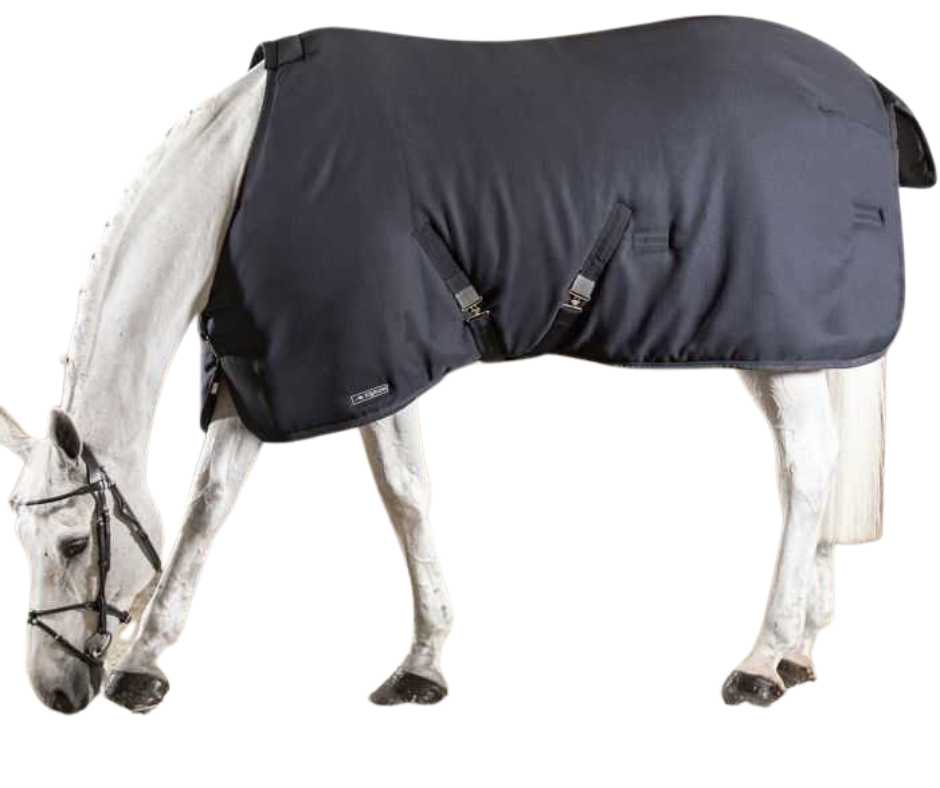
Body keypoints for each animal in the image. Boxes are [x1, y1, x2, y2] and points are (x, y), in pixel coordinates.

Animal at [0, 18, 932, 714]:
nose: (54, 692)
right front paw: (145, 666)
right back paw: (798, 651)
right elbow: (208, 507)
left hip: (780, 342)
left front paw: (422, 664)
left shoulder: (364, 361)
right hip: (777, 347)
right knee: (809, 472)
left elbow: (405, 496)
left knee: (807, 469)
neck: (240, 177)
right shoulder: (263, 372)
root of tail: (864, 86)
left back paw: (760, 661)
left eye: (75, 541)